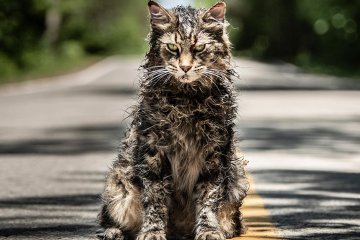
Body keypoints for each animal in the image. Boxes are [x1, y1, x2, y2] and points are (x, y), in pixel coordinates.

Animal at [97, 0, 249, 239]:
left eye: (199, 49)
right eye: (172, 48)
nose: (185, 67)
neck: (186, 101)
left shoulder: (214, 153)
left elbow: (208, 198)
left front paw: (208, 230)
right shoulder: (153, 152)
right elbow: (155, 200)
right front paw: (152, 232)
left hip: (238, 178)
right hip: (118, 185)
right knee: (109, 218)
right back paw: (114, 232)